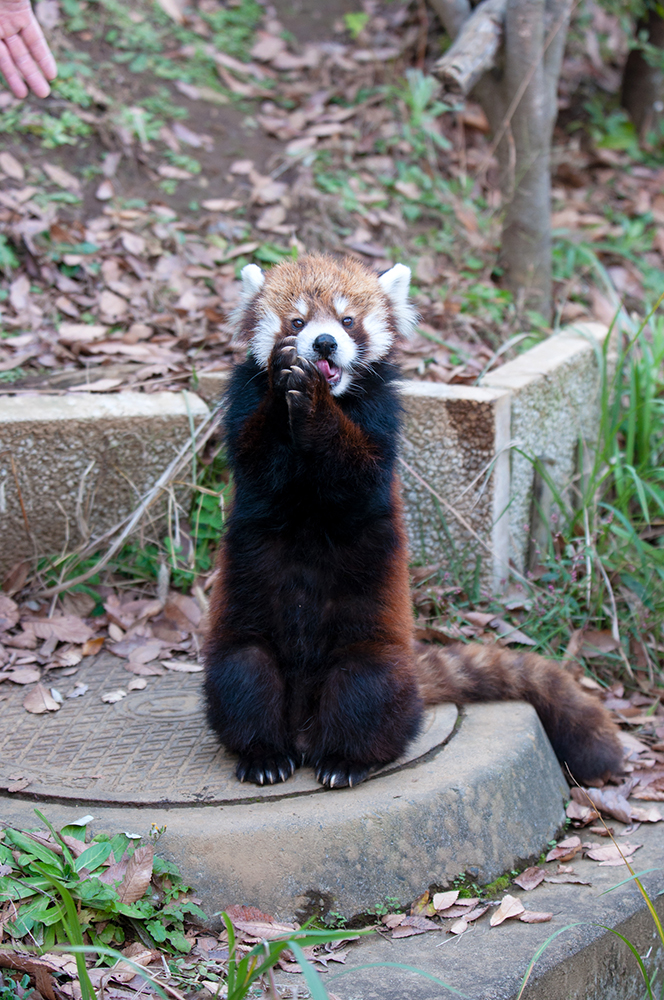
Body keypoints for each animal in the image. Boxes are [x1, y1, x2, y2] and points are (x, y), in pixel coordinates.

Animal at [205, 256, 624, 788]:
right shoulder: (243, 404)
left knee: (366, 695)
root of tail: (302, 729)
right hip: (246, 646)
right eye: (296, 322)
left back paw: (345, 760)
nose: (324, 345)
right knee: (245, 679)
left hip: (373, 657)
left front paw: (316, 406)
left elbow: (355, 477)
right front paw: (286, 384)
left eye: (347, 321)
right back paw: (264, 755)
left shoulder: (381, 417)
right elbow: (259, 459)